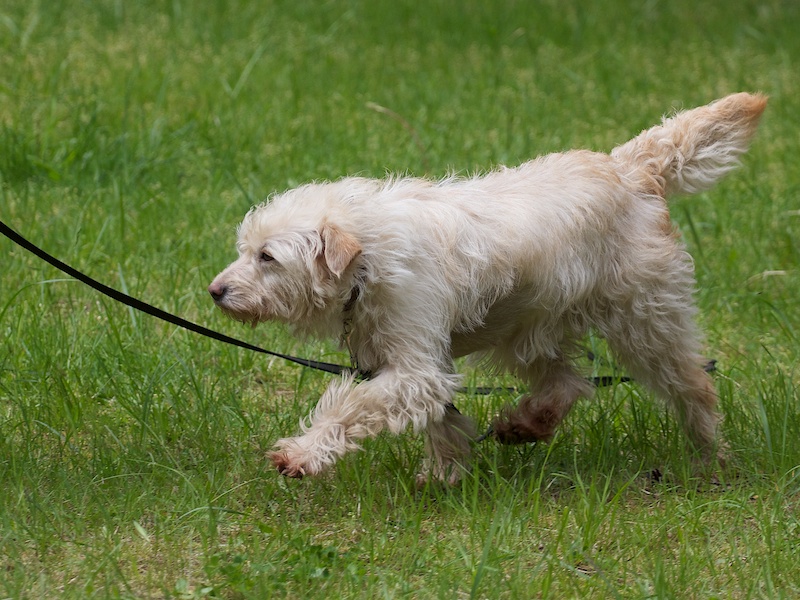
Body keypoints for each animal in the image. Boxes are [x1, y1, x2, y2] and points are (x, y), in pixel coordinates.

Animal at [209, 93, 766, 482]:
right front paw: (445, 472)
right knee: (567, 383)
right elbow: (439, 417)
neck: (370, 255)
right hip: (525, 329)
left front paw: (301, 455)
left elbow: (351, 406)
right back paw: (524, 425)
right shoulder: (417, 364)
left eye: (267, 257)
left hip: (646, 324)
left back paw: (712, 461)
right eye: (244, 250)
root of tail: (629, 169)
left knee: (694, 387)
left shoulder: (414, 366)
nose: (215, 291)